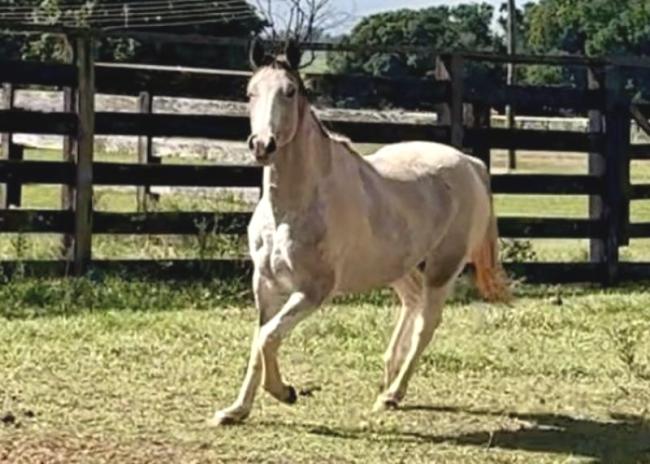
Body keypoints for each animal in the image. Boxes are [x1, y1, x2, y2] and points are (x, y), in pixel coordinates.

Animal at [210, 41, 510, 426]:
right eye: (250, 92)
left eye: (289, 91)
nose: (262, 145)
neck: (290, 210)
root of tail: (471, 164)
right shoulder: (264, 284)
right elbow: (259, 341)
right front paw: (235, 411)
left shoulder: (314, 290)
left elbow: (267, 337)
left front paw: (285, 392)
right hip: (396, 266)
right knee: (412, 300)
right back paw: (387, 374)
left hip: (443, 268)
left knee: (426, 325)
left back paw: (392, 394)